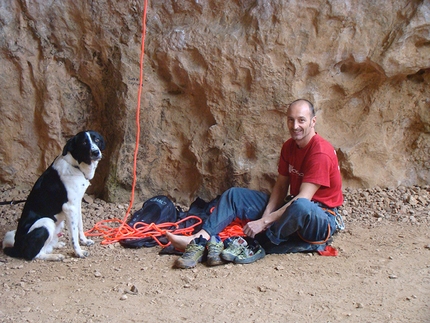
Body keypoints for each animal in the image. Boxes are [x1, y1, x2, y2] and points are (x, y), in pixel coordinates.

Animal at [2, 130, 105, 262]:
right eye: (83, 142)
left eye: (96, 140)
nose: (96, 152)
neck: (75, 166)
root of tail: (16, 247)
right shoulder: (69, 207)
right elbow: (73, 235)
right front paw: (78, 252)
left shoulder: (77, 204)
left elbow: (80, 225)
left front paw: (84, 241)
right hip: (46, 222)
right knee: (33, 254)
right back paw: (55, 256)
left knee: (46, 246)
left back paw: (56, 245)